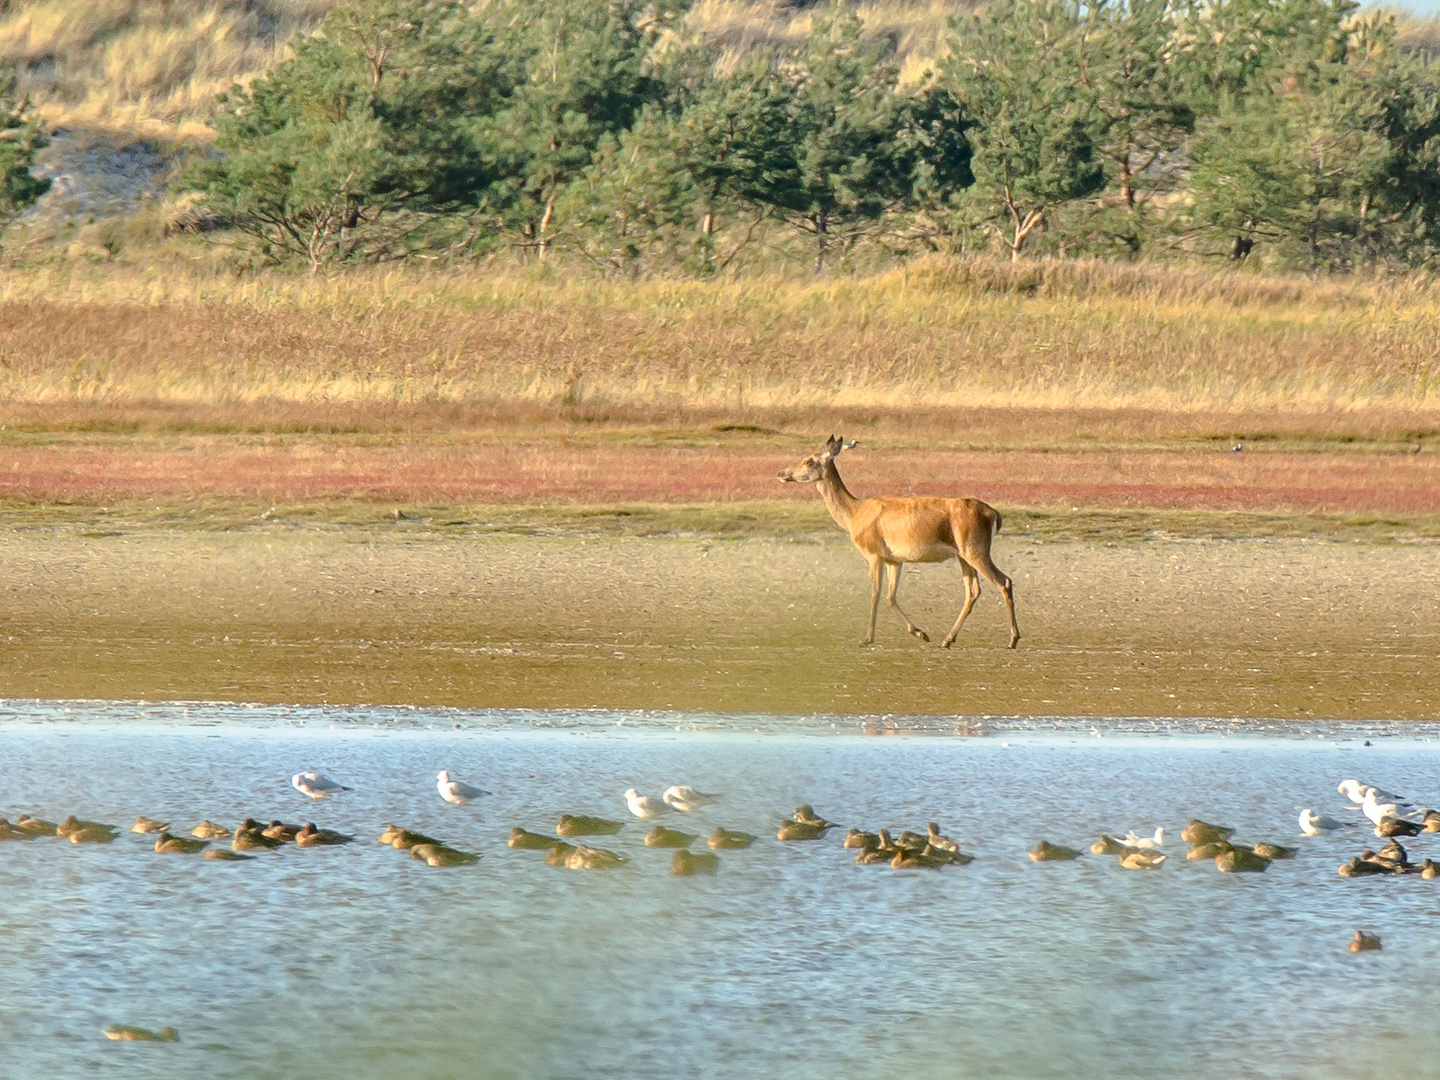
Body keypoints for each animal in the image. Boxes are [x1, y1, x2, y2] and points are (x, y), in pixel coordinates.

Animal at [777, 440, 1025, 650]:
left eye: (808, 460)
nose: (781, 473)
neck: (854, 514)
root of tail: (994, 515)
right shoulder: (894, 560)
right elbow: (890, 596)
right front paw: (921, 633)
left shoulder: (874, 554)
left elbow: (875, 593)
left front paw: (867, 638)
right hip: (963, 555)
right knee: (973, 591)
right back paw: (947, 639)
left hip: (976, 550)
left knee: (1004, 581)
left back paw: (1012, 640)